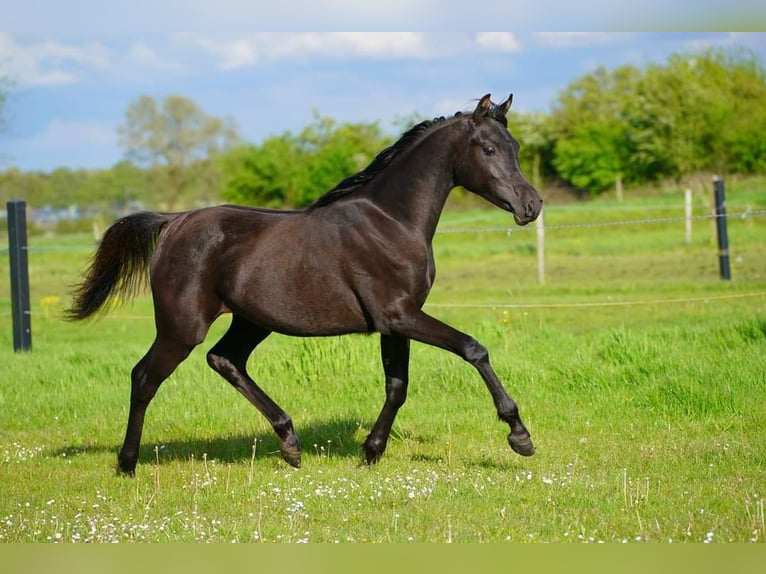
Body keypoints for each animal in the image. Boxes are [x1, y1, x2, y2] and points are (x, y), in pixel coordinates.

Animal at [67, 92, 544, 474]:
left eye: (516, 147)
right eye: (488, 149)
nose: (532, 205)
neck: (391, 222)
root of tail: (174, 223)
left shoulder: (396, 321)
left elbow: (397, 387)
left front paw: (370, 452)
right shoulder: (399, 314)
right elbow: (473, 349)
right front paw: (519, 435)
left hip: (251, 321)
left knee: (225, 360)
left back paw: (290, 443)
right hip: (181, 328)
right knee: (145, 377)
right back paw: (127, 465)